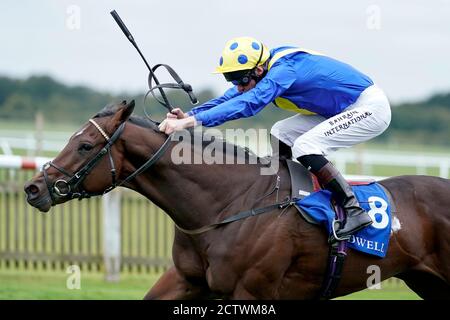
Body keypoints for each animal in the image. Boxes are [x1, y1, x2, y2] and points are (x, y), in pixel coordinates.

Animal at [24, 100, 450, 300]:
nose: (35, 188)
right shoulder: (187, 280)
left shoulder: (251, 291)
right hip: (426, 280)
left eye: (84, 145)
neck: (227, 205)